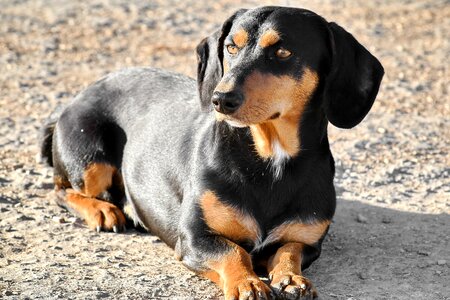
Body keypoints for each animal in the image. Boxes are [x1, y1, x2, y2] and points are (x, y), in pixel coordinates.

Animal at [40, 7, 384, 300]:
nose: (221, 99)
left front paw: (291, 278)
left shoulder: (307, 239)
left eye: (283, 52)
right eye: (231, 47)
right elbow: (234, 251)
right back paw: (102, 210)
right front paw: (247, 282)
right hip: (90, 158)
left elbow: (289, 250)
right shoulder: (195, 237)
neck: (270, 161)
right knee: (60, 190)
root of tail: (76, 98)